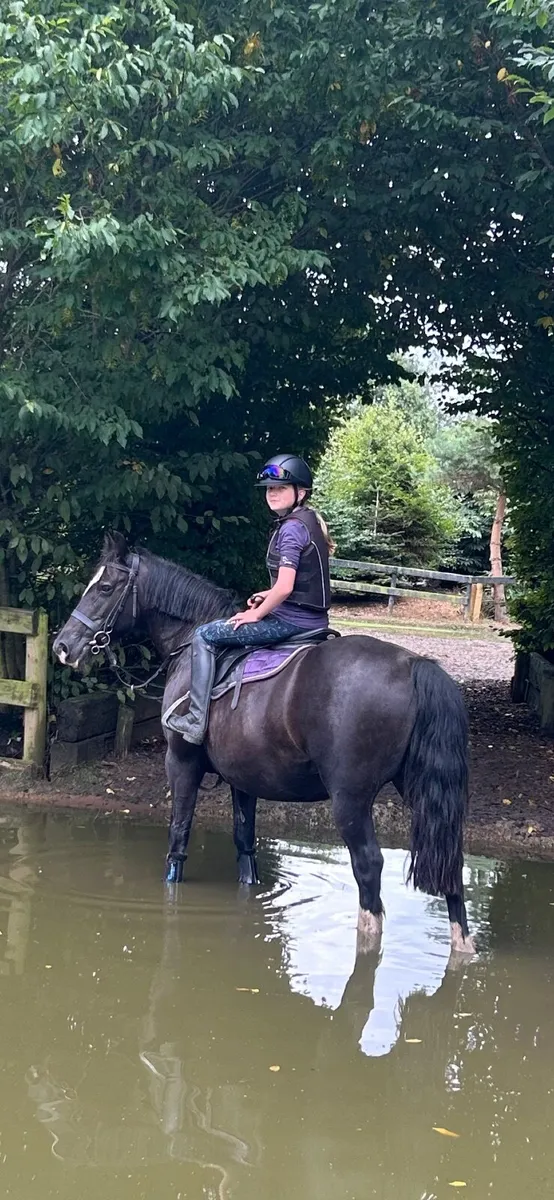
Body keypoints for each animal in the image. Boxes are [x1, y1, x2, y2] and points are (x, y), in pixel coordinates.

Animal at [53, 533, 475, 954]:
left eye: (105, 588)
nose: (62, 647)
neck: (191, 643)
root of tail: (413, 663)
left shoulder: (182, 763)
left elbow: (179, 835)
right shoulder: (244, 778)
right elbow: (245, 845)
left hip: (350, 799)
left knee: (369, 867)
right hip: (419, 789)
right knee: (451, 863)